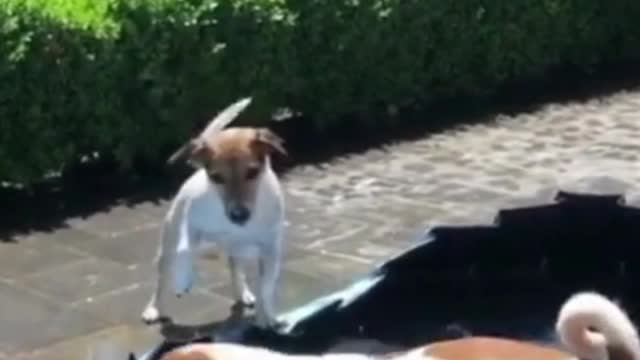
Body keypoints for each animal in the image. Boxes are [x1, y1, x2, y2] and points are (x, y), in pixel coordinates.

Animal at [145, 97, 288, 330]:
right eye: (216, 177)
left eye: (252, 172)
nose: (238, 214)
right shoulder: (190, 220)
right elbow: (184, 249)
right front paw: (182, 280)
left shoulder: (271, 250)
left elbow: (265, 286)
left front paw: (265, 316)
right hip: (168, 246)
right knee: (162, 277)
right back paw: (154, 308)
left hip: (239, 250)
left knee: (235, 267)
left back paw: (244, 293)